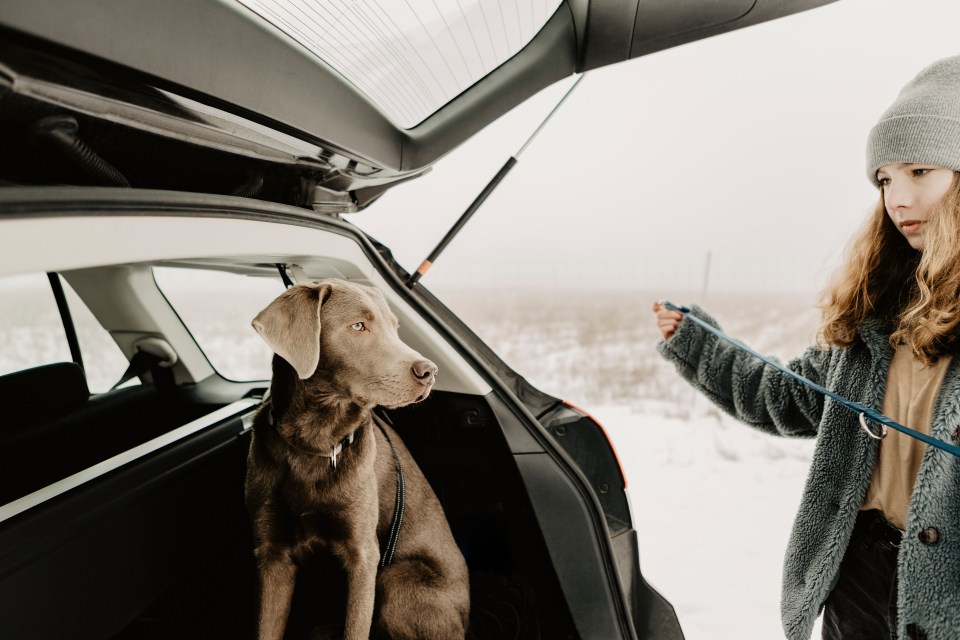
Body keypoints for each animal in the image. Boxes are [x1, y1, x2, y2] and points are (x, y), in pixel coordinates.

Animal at [246, 278, 470, 640]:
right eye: (358, 326)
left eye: (395, 327)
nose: (429, 371)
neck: (314, 442)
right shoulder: (271, 554)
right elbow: (267, 627)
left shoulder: (363, 555)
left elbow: (356, 628)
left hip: (395, 580)